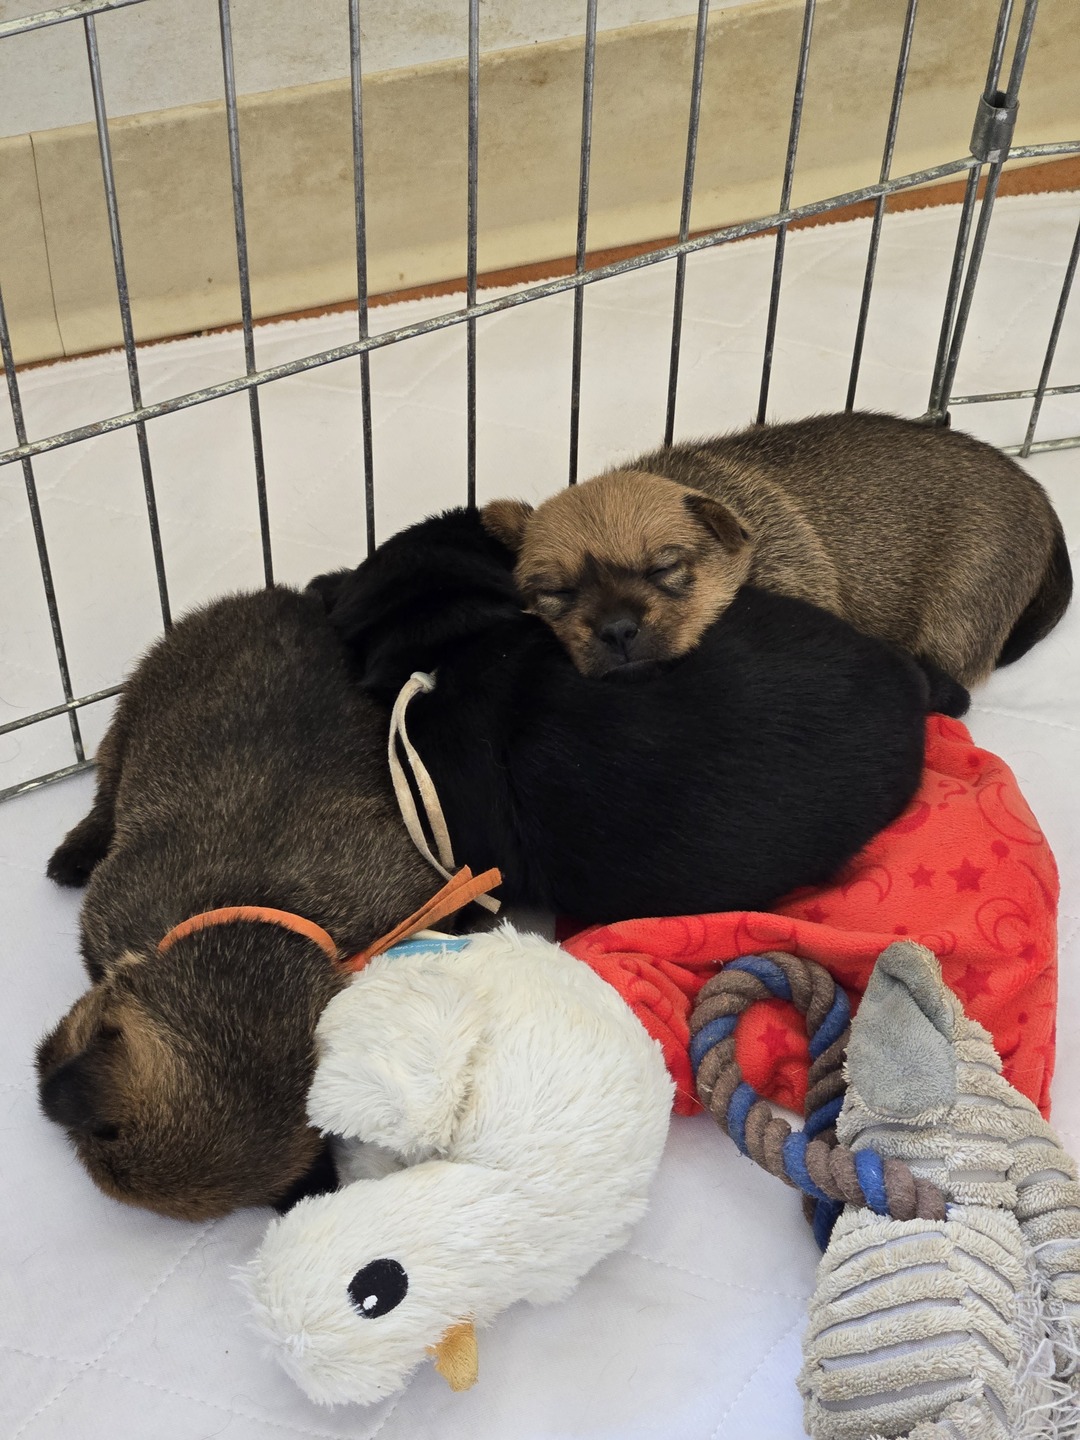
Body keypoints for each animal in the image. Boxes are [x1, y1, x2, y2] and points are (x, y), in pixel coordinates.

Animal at [36, 588, 435, 1221]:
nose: (42, 1076)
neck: (254, 914)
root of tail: (288, 596)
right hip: (132, 714)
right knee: (106, 783)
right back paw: (77, 849)